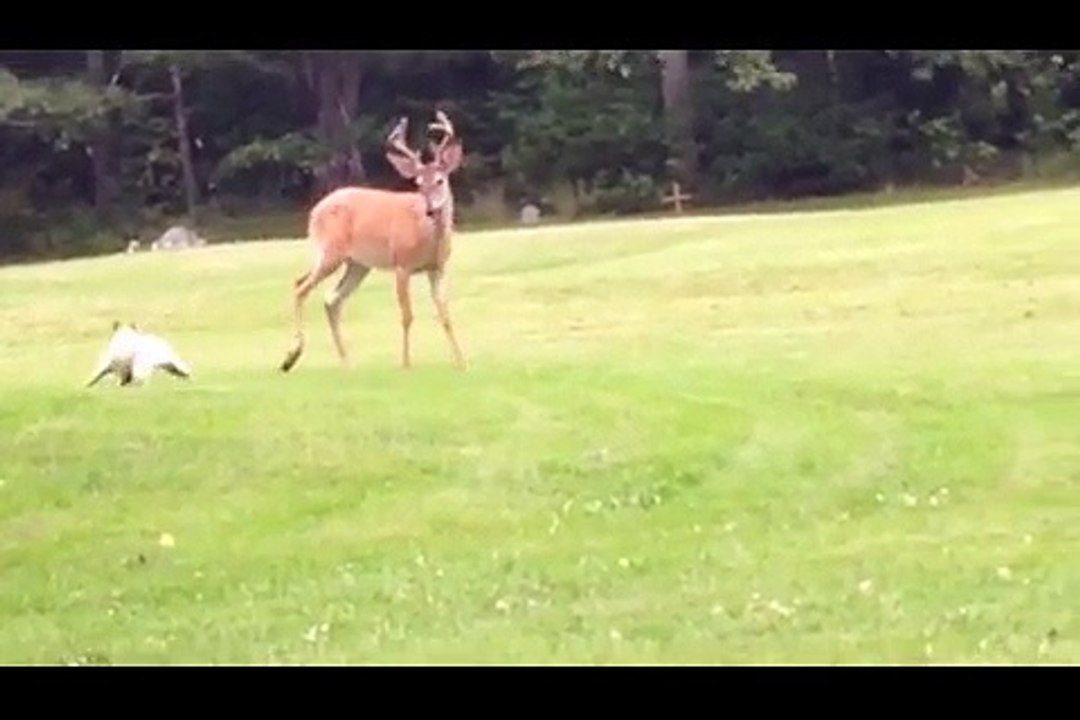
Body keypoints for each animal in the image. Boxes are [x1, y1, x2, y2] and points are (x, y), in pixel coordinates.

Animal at [279, 110, 467, 374]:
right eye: (418, 184)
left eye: (440, 180)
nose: (430, 209)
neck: (429, 239)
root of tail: (315, 210)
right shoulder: (402, 264)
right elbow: (407, 315)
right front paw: (406, 363)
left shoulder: (438, 268)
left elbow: (445, 314)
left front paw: (461, 362)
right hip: (331, 251)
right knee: (301, 286)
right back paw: (291, 357)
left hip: (357, 264)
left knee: (331, 299)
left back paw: (346, 363)